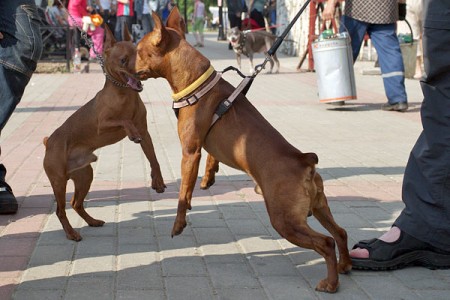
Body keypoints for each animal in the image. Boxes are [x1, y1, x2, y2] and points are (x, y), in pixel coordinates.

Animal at [41, 25, 165, 241]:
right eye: (123, 60)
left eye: (140, 55)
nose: (140, 73)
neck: (125, 94)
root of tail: (49, 142)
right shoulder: (103, 124)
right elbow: (124, 121)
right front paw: (130, 132)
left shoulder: (145, 133)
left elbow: (153, 158)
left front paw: (157, 179)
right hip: (58, 181)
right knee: (61, 210)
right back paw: (71, 233)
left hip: (84, 176)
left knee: (76, 203)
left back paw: (92, 221)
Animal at [135, 8, 354, 292]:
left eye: (138, 50)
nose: (125, 64)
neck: (197, 84)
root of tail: (304, 161)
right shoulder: (210, 145)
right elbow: (211, 161)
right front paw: (208, 177)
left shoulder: (190, 151)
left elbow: (184, 193)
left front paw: (179, 222)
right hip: (319, 207)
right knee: (340, 233)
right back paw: (345, 265)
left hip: (285, 220)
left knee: (326, 242)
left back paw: (331, 282)